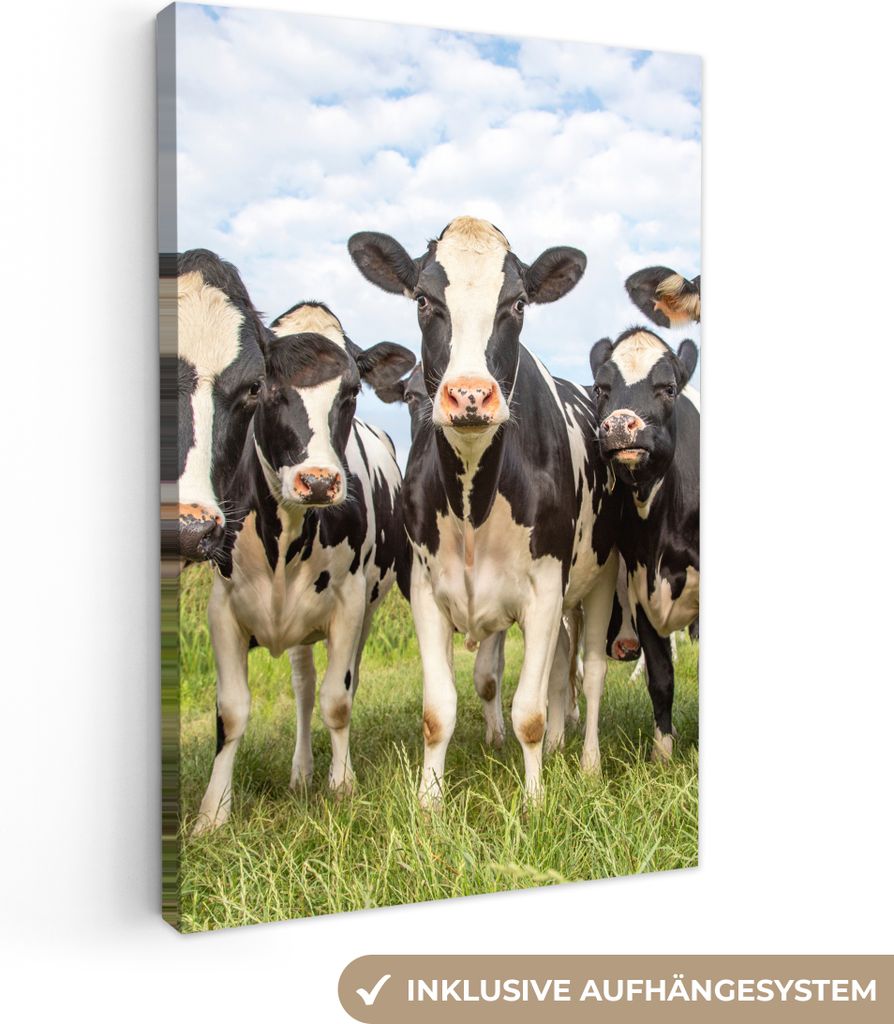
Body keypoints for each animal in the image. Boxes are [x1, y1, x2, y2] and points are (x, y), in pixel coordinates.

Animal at [193, 301, 415, 833]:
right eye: (264, 387)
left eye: (352, 391)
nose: (317, 482)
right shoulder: (221, 608)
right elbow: (231, 711)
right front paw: (213, 812)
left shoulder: (350, 603)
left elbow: (338, 699)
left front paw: (343, 785)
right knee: (302, 690)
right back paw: (300, 771)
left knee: (337, 682)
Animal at [348, 216, 621, 805]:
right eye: (424, 300)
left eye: (517, 303)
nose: (470, 395)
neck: (473, 499)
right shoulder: (426, 590)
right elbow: (438, 711)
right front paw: (429, 803)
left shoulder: (546, 590)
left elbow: (530, 712)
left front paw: (536, 801)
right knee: (557, 668)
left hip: (601, 578)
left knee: (590, 671)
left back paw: (587, 761)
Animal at [589, 324, 699, 761]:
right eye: (601, 389)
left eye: (668, 388)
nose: (619, 425)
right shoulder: (640, 589)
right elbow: (661, 678)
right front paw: (662, 754)